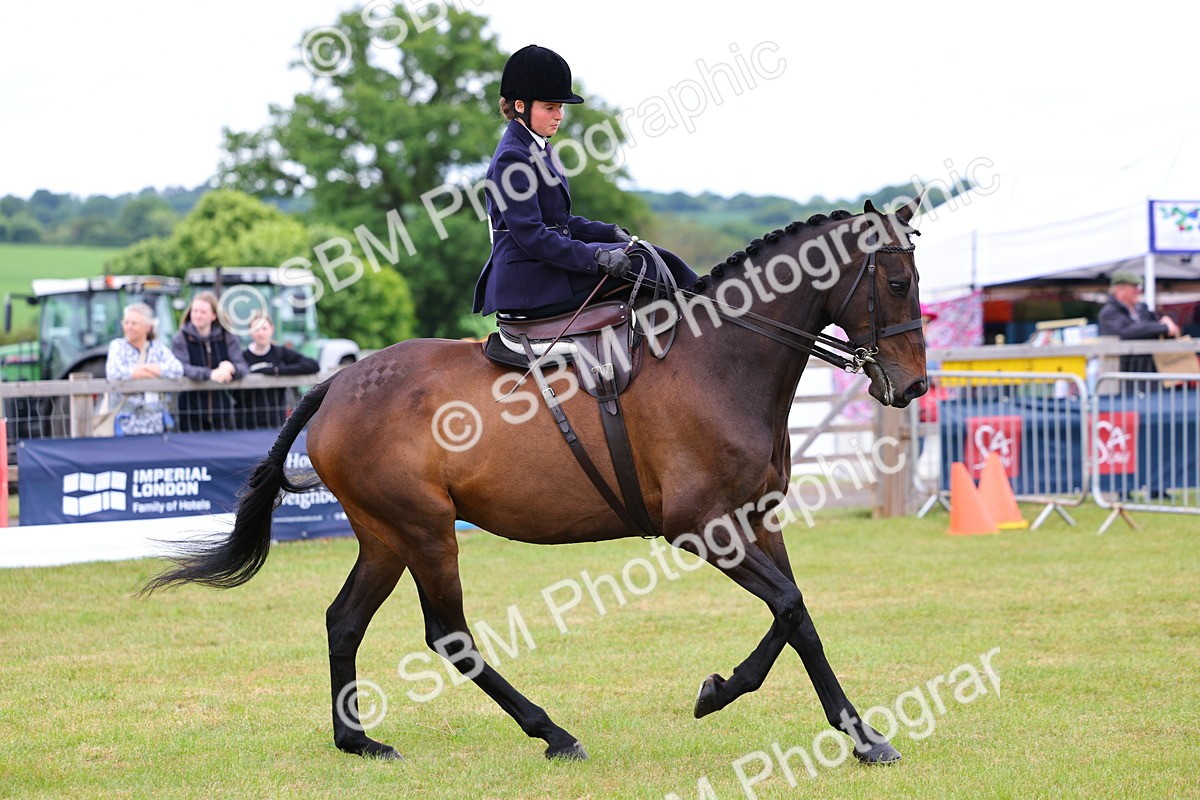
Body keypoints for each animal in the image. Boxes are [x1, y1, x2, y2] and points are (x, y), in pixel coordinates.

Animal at [144, 196, 928, 764]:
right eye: (896, 283)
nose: (914, 386)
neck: (721, 361)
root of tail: (336, 384)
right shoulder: (701, 527)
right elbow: (791, 608)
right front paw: (837, 731)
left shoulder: (755, 518)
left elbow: (795, 616)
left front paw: (755, 701)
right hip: (425, 533)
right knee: (449, 635)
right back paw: (552, 732)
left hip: (385, 537)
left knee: (344, 620)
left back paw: (357, 740)